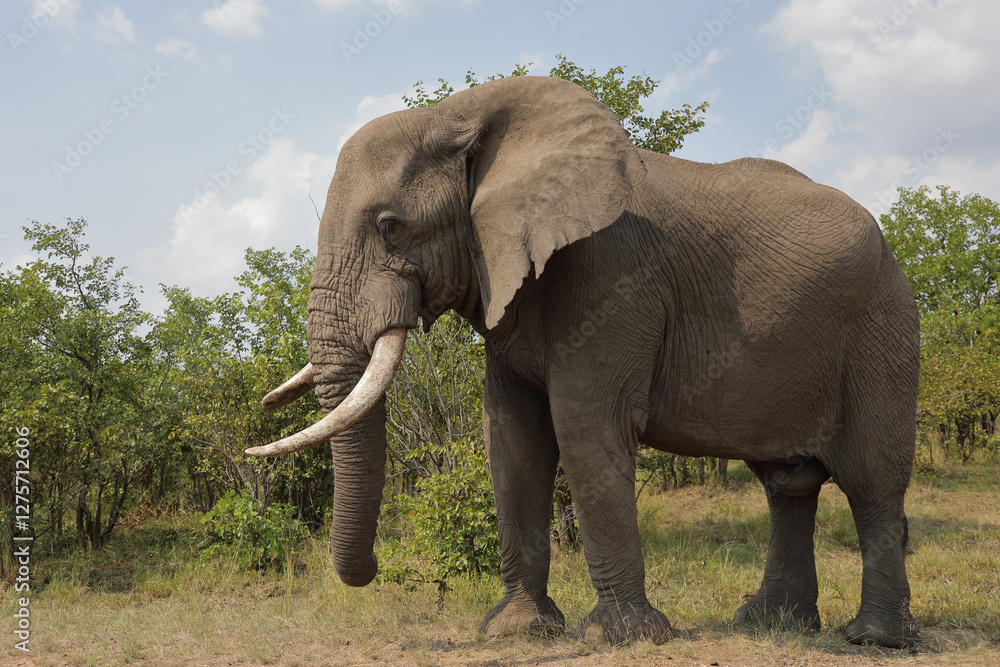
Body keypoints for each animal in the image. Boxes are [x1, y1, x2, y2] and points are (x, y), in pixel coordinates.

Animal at [246, 75, 920, 648]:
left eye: (390, 226)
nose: (375, 569)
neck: (459, 115)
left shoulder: (613, 275)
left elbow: (583, 426)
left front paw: (620, 637)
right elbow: (511, 434)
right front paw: (516, 631)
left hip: (882, 325)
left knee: (871, 480)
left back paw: (873, 640)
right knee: (788, 484)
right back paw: (769, 624)